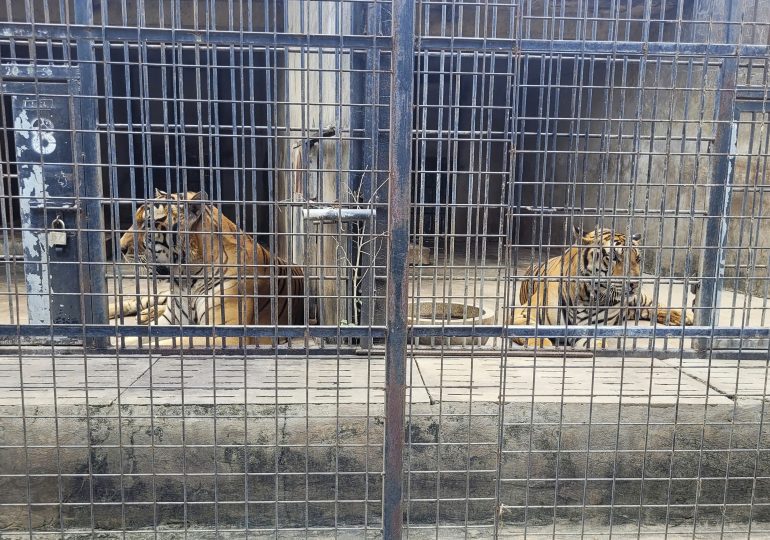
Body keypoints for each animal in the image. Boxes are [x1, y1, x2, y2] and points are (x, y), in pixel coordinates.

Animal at [109, 192, 308, 348]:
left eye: (148, 225)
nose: (120, 248)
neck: (187, 279)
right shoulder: (171, 319)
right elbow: (137, 338)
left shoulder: (225, 333)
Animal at [508, 227, 692, 346]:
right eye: (614, 258)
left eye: (638, 259)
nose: (634, 283)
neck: (587, 296)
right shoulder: (522, 316)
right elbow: (538, 339)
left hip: (639, 299)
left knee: (655, 305)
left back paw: (685, 317)